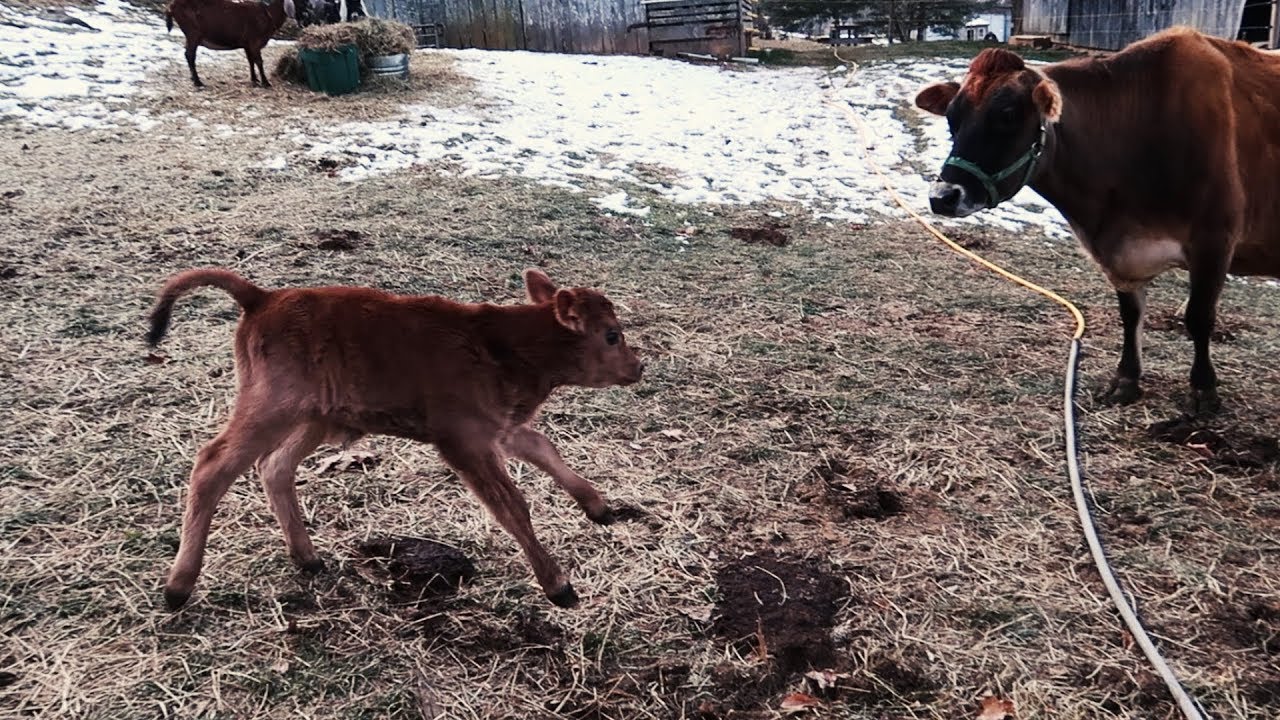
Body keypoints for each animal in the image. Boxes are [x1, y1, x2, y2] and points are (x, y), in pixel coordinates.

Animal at [147, 268, 645, 611]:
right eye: (612, 335)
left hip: (314, 417)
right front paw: (558, 585)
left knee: (275, 467)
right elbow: (512, 506)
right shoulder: (464, 439)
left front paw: (599, 508)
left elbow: (546, 449)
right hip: (271, 407)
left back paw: (307, 557)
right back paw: (178, 586)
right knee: (212, 465)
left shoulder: (501, 428)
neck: (504, 347)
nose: (639, 367)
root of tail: (262, 298)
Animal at [912, 27, 1280, 415]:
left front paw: (1203, 390)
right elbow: (1130, 315)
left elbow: (1198, 317)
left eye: (1008, 115)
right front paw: (1126, 380)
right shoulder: (1121, 255)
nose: (942, 196)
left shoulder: (1215, 239)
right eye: (952, 118)